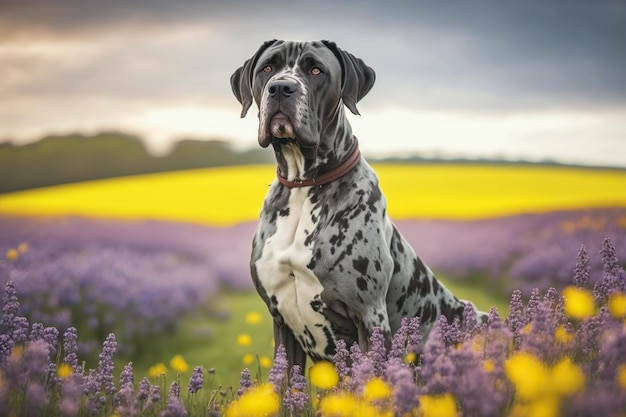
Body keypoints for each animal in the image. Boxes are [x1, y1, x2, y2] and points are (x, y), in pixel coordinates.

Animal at [229, 39, 488, 368]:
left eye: (316, 70)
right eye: (267, 68)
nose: (281, 88)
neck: (304, 184)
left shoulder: (369, 316)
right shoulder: (282, 322)